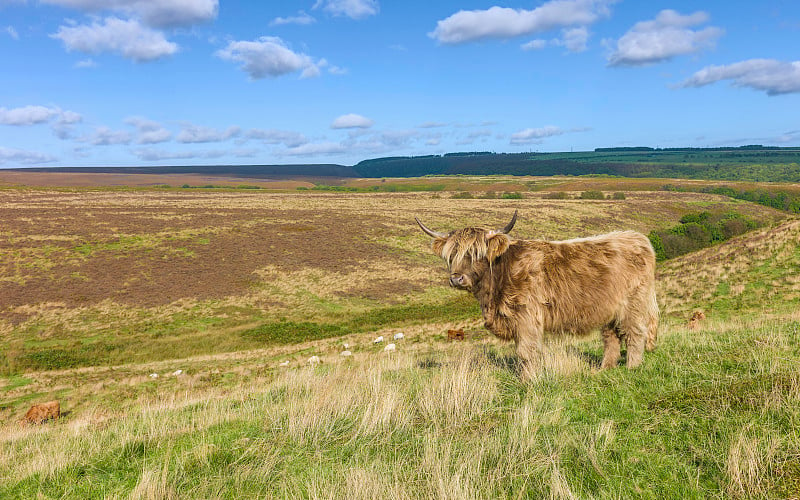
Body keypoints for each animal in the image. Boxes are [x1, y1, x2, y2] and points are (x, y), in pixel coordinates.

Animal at [416, 211, 660, 378]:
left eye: (477, 253)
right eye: (451, 255)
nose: (456, 278)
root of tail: (637, 237)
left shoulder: (527, 316)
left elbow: (526, 351)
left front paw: (528, 381)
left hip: (633, 304)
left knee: (634, 334)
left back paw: (632, 367)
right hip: (609, 309)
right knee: (611, 337)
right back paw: (604, 369)